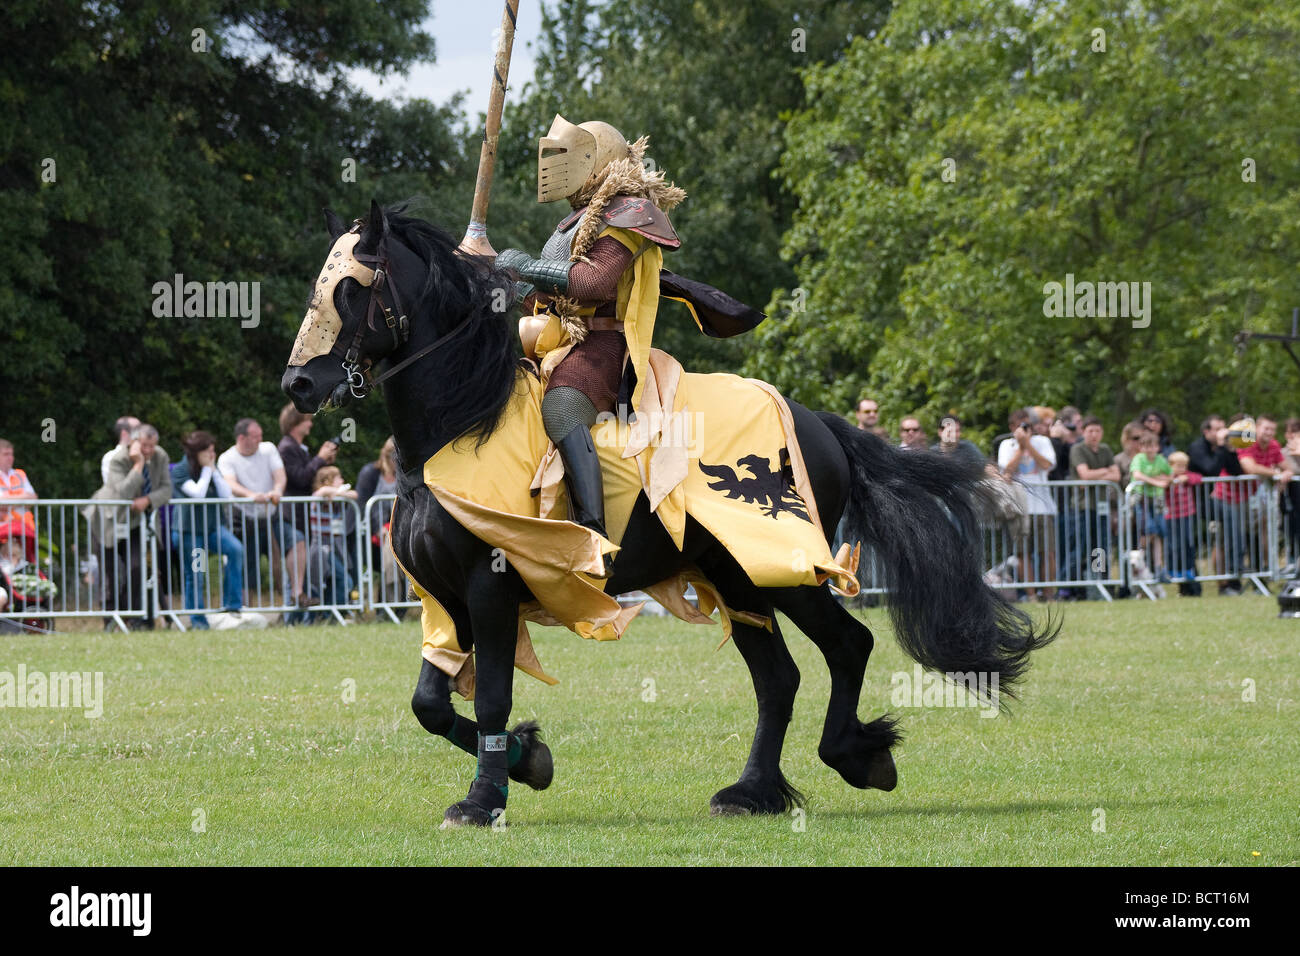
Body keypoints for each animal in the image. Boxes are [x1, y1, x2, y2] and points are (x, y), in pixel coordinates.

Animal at [282, 201, 1055, 832]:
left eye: (351, 289)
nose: (299, 384)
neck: (464, 422)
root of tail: (820, 422)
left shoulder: (488, 588)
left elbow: (493, 696)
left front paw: (483, 800)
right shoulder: (441, 599)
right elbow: (430, 704)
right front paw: (530, 761)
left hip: (781, 570)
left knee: (848, 647)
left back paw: (853, 756)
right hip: (739, 581)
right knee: (779, 678)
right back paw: (753, 791)